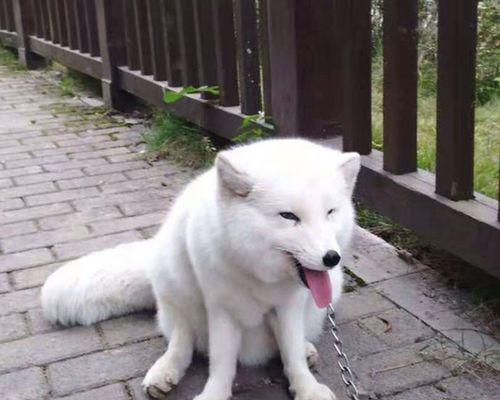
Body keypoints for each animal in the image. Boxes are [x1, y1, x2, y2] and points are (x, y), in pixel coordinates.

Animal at [42, 138, 360, 400]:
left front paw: (307, 389)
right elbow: (221, 363)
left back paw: (307, 349)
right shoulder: (221, 309)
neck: (258, 276)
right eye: (289, 216)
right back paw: (165, 371)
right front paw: (213, 394)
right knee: (182, 340)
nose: (332, 258)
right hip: (176, 288)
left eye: (330, 212)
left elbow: (291, 354)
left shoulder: (288, 307)